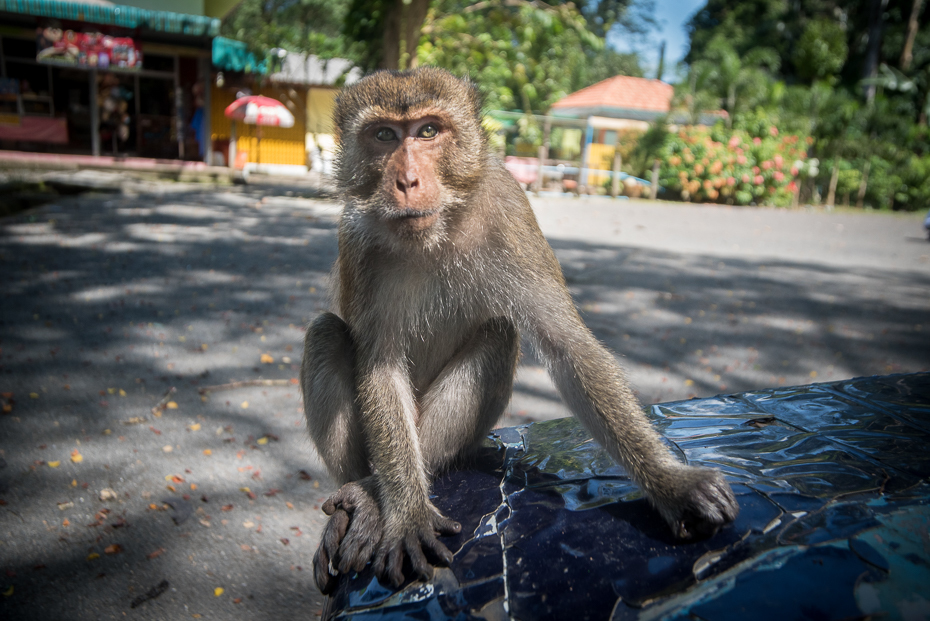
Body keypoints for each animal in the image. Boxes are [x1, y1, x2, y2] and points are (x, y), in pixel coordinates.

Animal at [300, 65, 736, 592]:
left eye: (428, 131)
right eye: (384, 135)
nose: (406, 180)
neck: (435, 231)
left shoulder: (510, 212)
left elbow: (569, 348)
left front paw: (670, 483)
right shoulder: (356, 239)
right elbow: (380, 369)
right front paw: (405, 515)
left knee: (498, 334)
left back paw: (367, 493)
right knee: (325, 333)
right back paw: (363, 494)